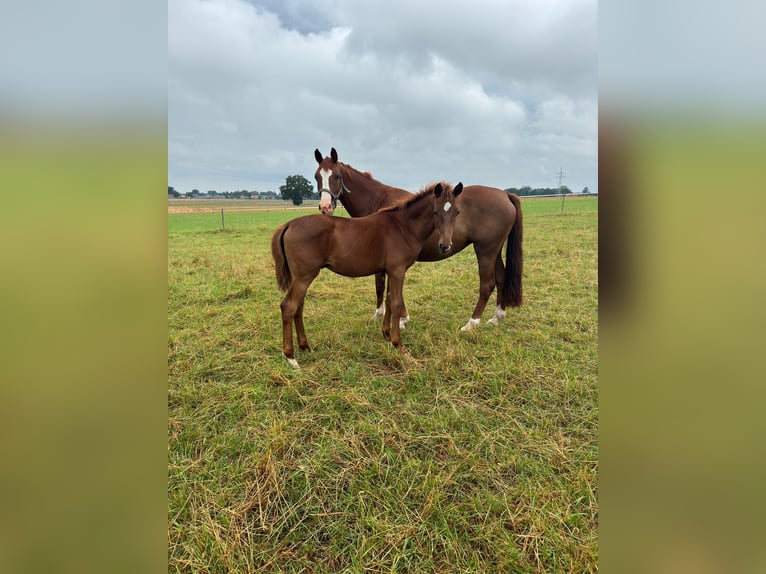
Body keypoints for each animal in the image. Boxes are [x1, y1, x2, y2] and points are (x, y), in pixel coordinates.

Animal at [271, 181, 463, 368]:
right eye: (435, 211)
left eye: (457, 212)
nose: (445, 246)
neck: (402, 227)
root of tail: (288, 224)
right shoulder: (398, 271)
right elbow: (397, 304)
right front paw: (398, 345)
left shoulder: (390, 271)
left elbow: (389, 301)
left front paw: (386, 335)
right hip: (304, 276)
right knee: (289, 306)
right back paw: (290, 357)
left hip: (300, 277)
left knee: (298, 307)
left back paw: (305, 347)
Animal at [314, 148, 523, 332]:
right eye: (317, 176)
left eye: (336, 176)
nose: (325, 207)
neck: (378, 201)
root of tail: (505, 194)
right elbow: (384, 287)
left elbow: (382, 285)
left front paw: (398, 318)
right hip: (494, 250)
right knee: (501, 278)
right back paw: (497, 317)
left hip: (485, 250)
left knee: (487, 284)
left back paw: (471, 323)